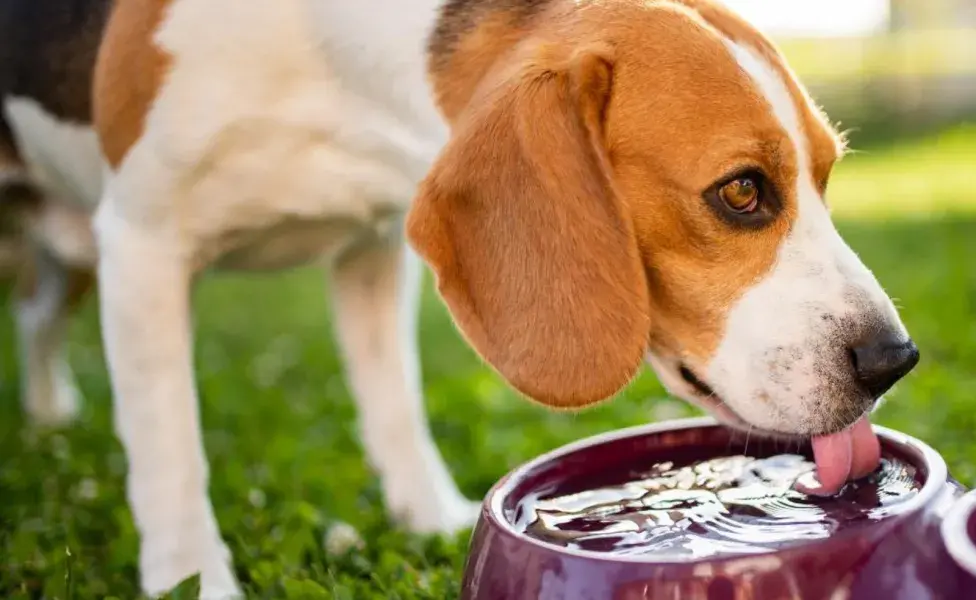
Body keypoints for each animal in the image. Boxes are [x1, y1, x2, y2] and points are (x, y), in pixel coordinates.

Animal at [1, 0, 916, 596]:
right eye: (742, 192)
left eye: (827, 176)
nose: (893, 360)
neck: (329, 66)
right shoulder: (143, 242)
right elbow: (168, 449)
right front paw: (191, 575)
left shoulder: (372, 248)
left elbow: (394, 404)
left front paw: (430, 518)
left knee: (38, 317)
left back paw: (47, 415)